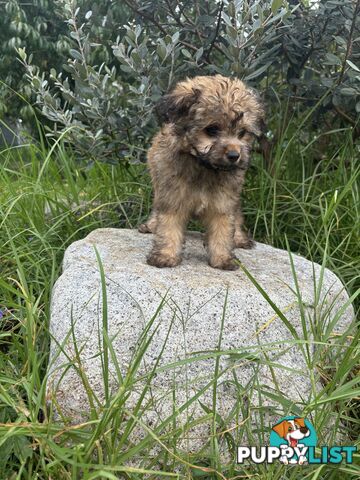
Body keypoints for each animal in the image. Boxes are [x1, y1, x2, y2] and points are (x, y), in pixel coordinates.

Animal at [139, 75, 266, 270]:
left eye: (242, 132)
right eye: (212, 129)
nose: (234, 155)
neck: (204, 167)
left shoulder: (223, 202)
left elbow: (223, 230)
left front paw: (222, 258)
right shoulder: (172, 196)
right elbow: (168, 227)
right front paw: (166, 255)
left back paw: (239, 237)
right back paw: (151, 224)